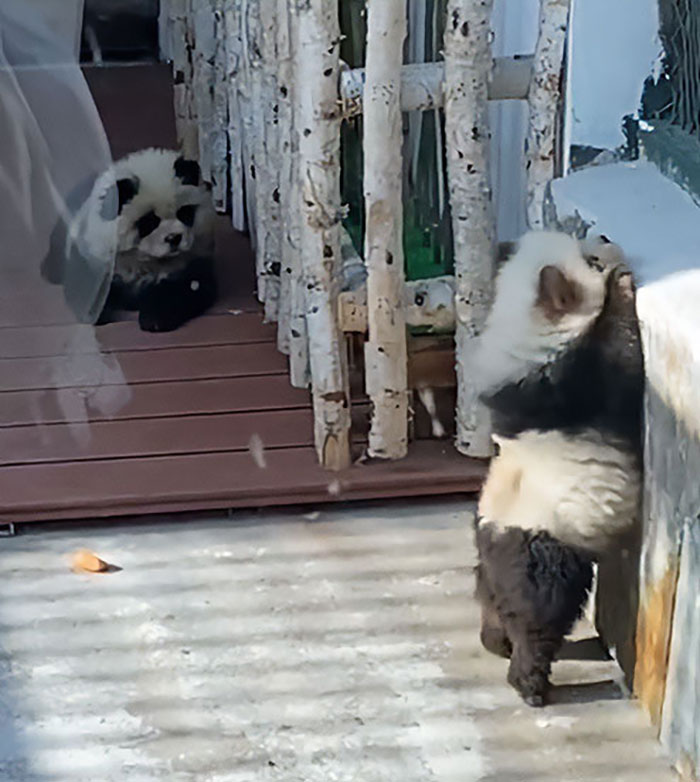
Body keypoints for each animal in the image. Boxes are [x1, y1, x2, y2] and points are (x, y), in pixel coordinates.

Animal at [42, 147, 216, 332]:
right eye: (149, 222)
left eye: (185, 213)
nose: (174, 238)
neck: (144, 260)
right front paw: (95, 313)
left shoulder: (193, 259)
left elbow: (189, 287)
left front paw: (154, 318)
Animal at [472, 230, 644, 707]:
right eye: (589, 259)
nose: (604, 236)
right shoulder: (577, 380)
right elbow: (623, 353)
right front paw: (622, 284)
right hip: (545, 551)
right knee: (539, 619)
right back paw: (530, 685)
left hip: (494, 560)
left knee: (492, 602)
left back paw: (495, 641)